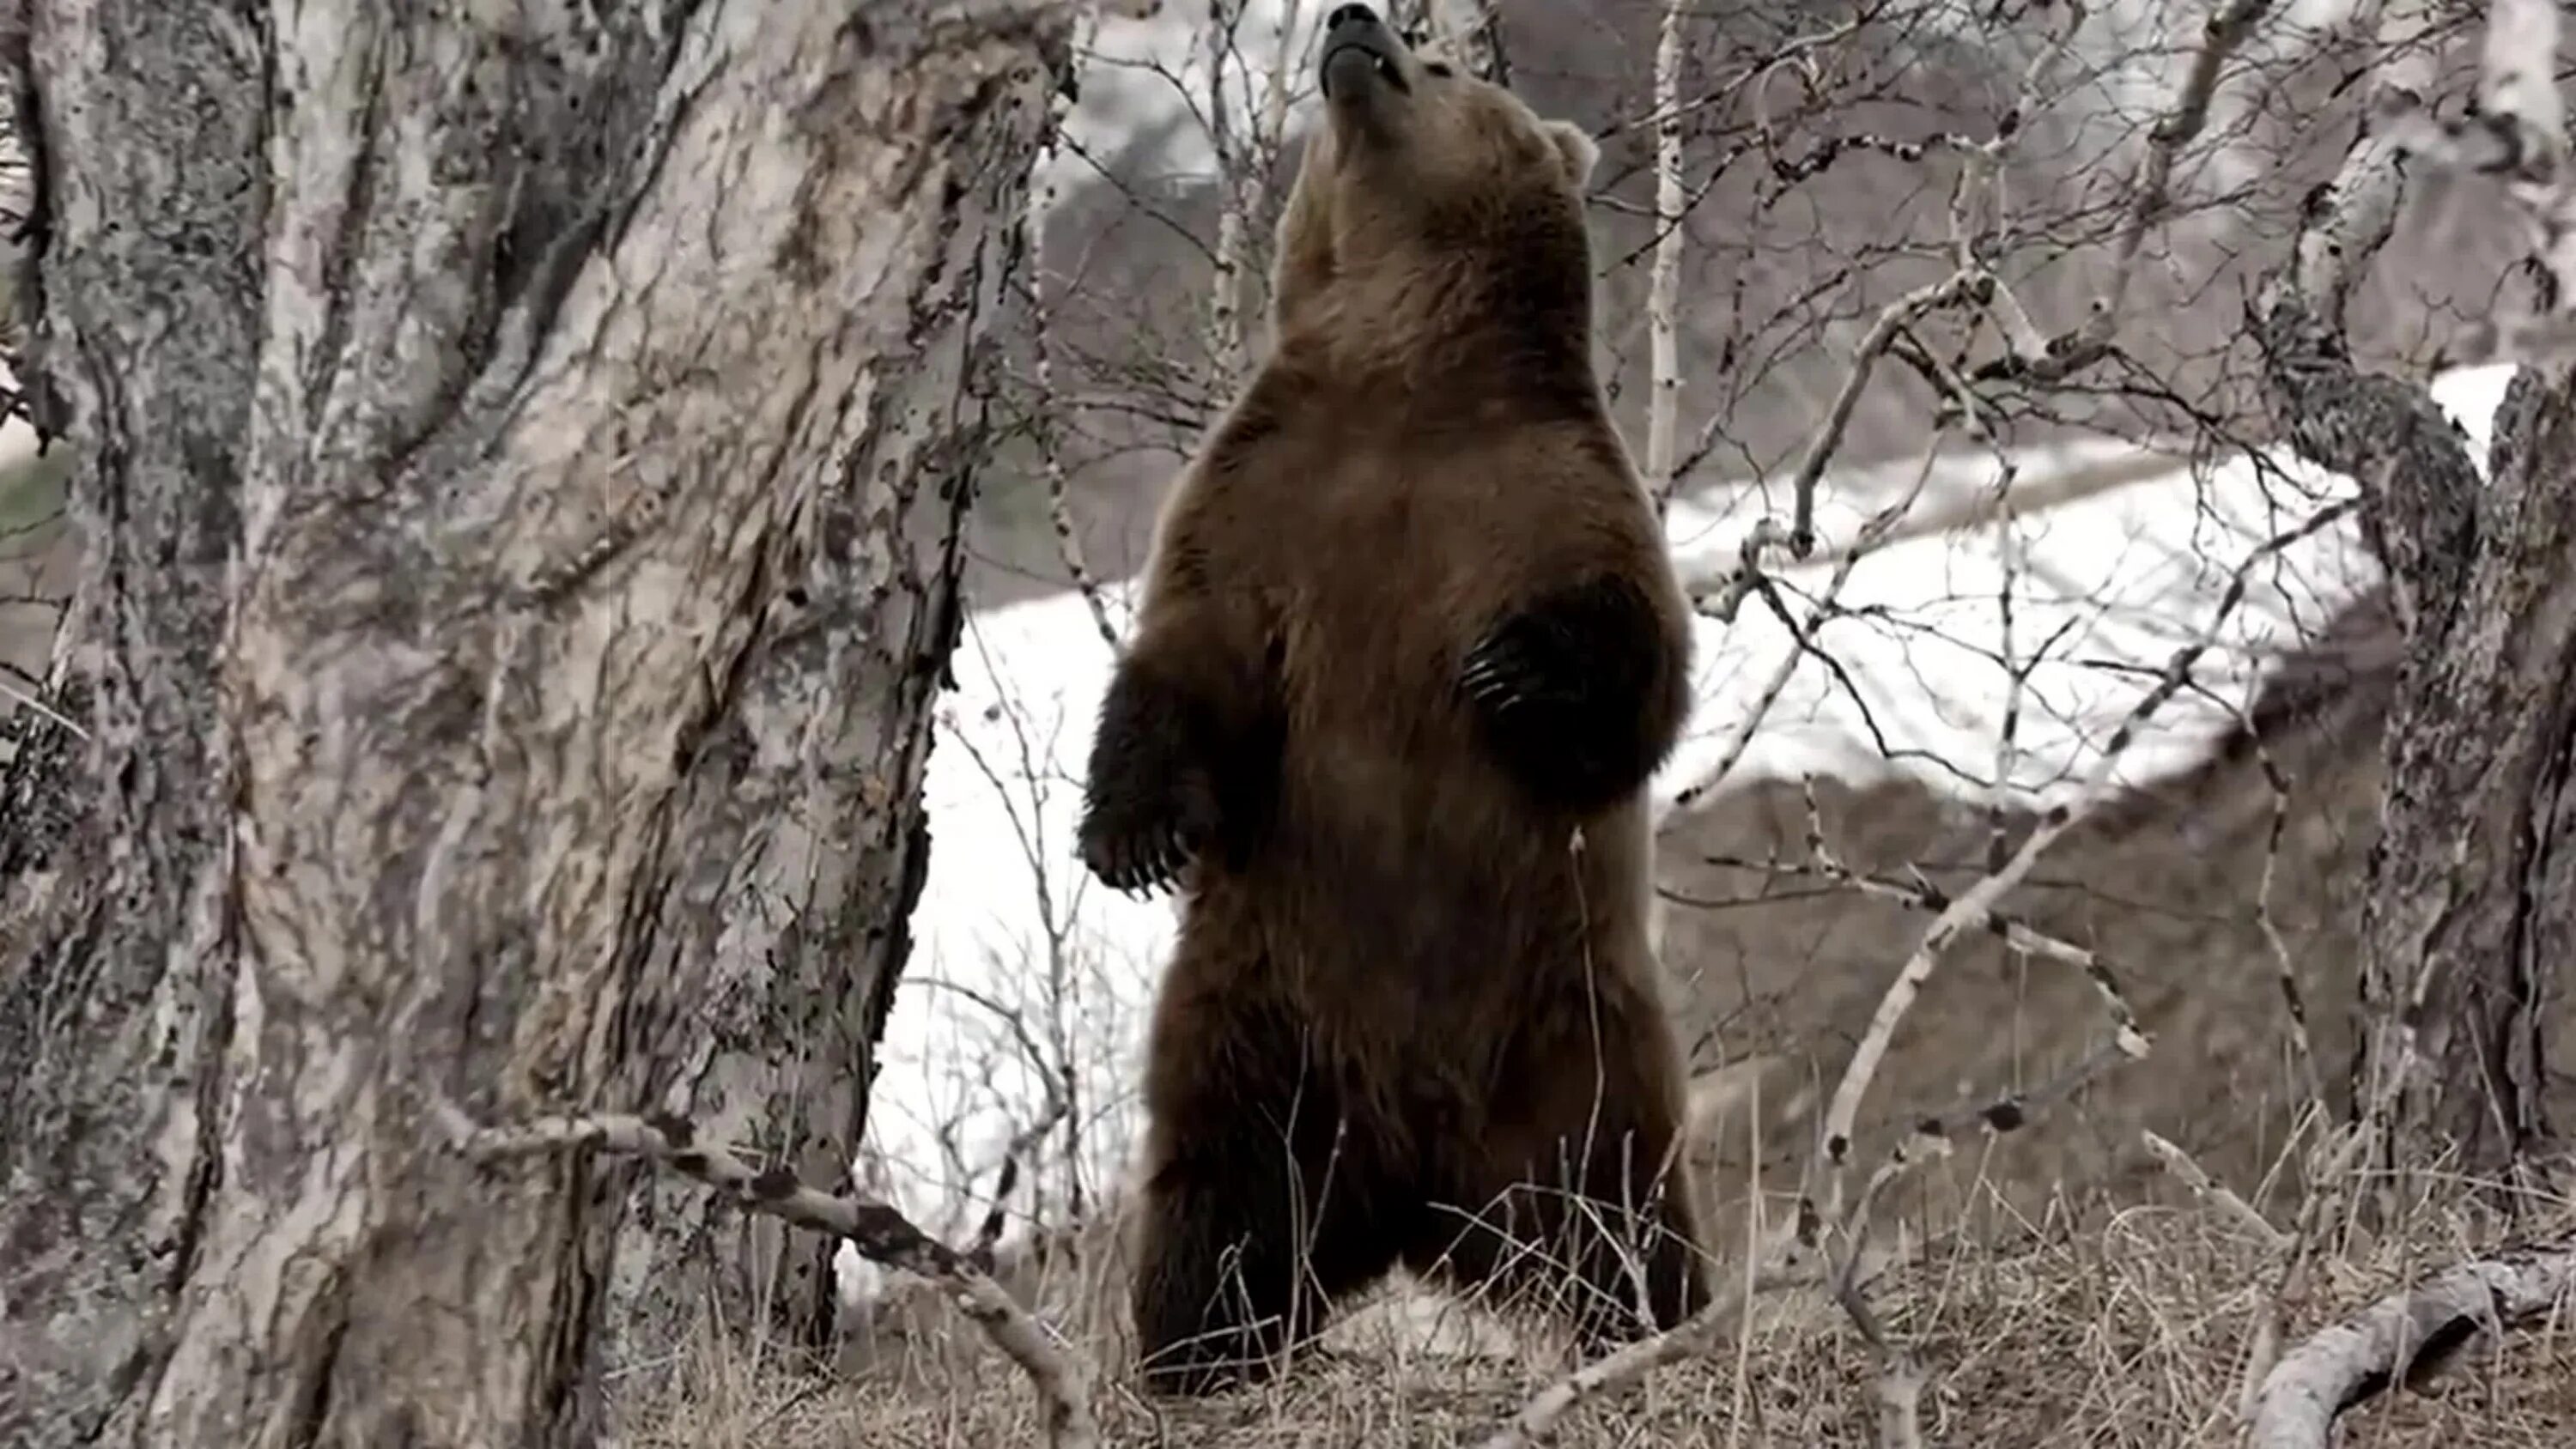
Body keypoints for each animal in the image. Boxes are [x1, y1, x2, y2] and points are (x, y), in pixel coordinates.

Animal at [1082, 5, 1710, 1400]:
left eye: (1448, 62)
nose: (1354, 25)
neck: (1408, 378)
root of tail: (1427, 1201)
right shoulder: (1261, 503)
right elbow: (1188, 663)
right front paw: (1126, 837)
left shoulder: (1556, 490)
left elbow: (1638, 673)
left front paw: (1511, 668)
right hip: (1262, 1030)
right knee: (1220, 1206)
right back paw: (1194, 1356)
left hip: (1577, 1051)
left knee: (1626, 1219)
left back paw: (1662, 1328)